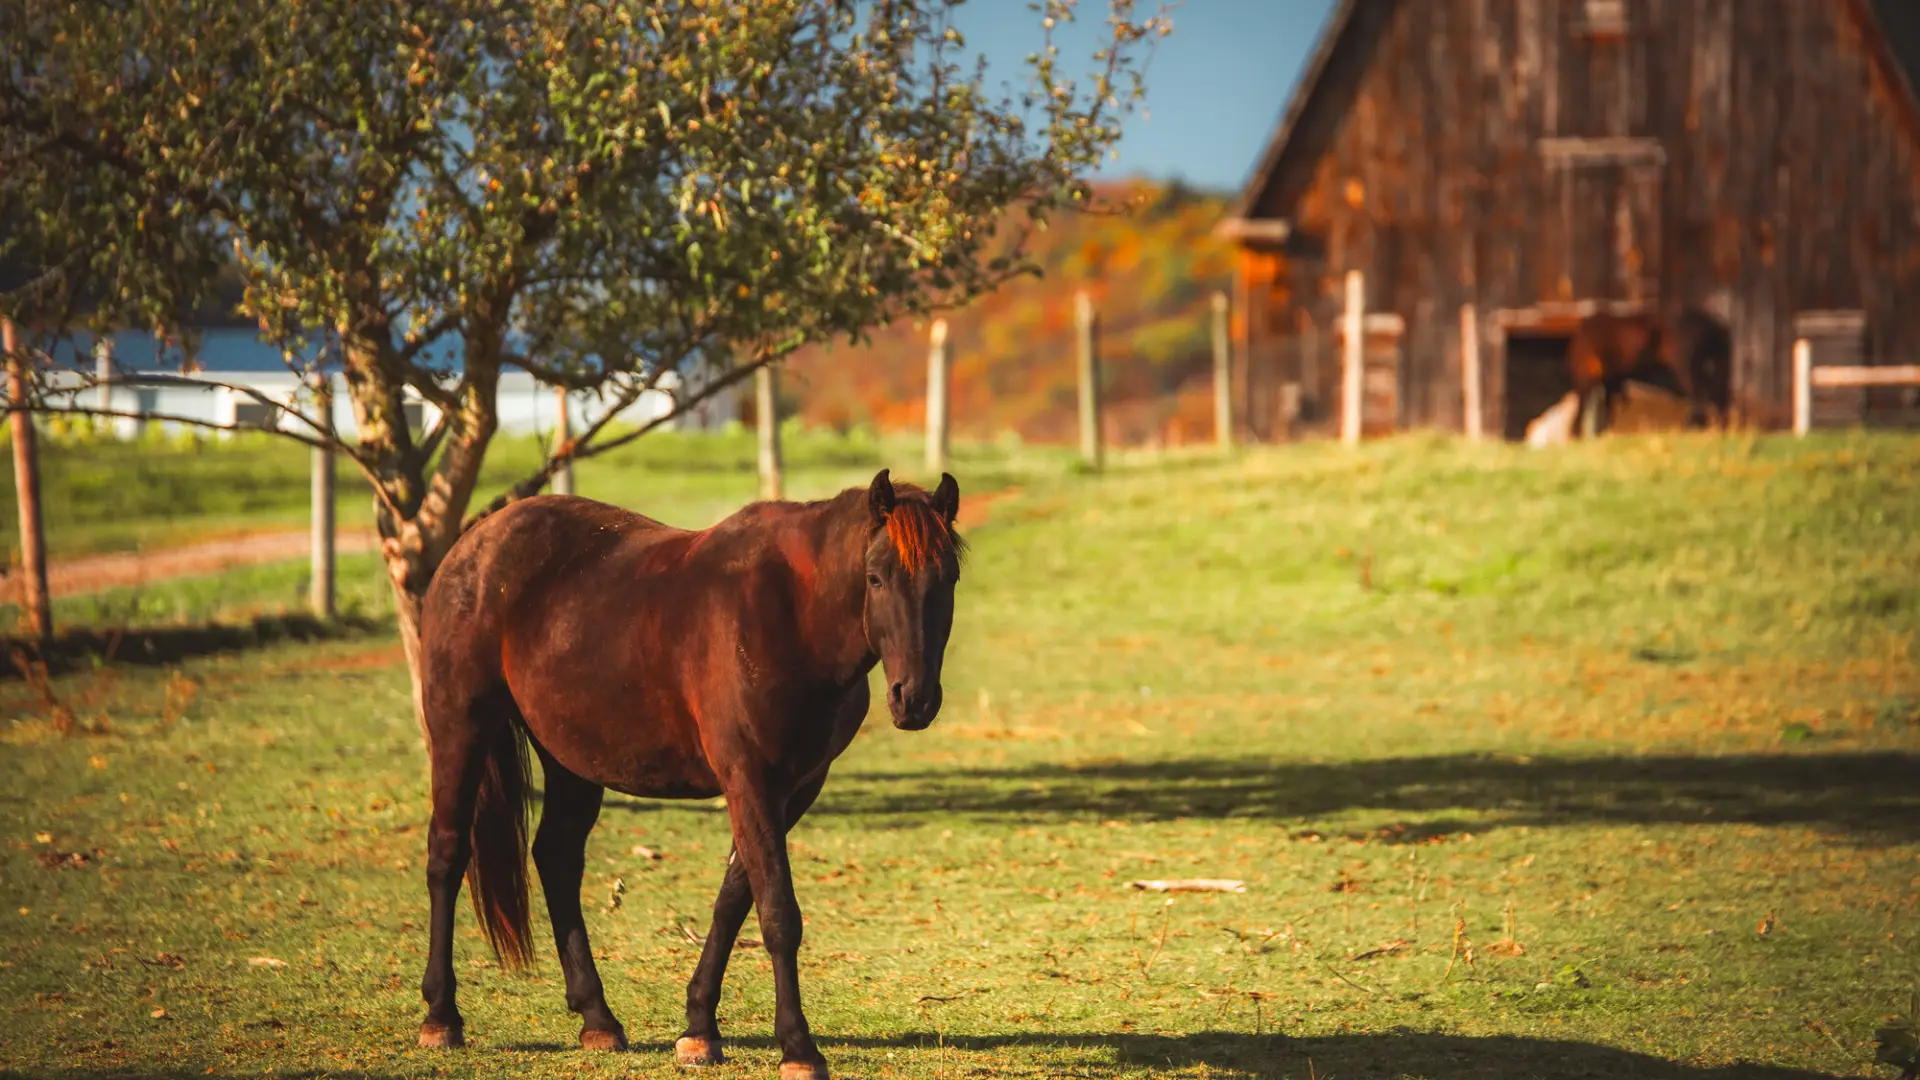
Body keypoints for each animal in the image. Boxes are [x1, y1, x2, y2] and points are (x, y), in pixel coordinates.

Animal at [413, 468, 964, 1080]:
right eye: (875, 577)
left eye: (949, 578)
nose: (914, 699)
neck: (789, 617)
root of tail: (473, 545)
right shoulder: (749, 779)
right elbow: (778, 913)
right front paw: (798, 1047)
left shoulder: (793, 788)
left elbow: (734, 899)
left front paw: (699, 1028)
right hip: (460, 729)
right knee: (447, 855)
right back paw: (441, 1017)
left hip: (571, 758)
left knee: (556, 858)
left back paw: (598, 1019)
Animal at [1565, 306, 1733, 434]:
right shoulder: (1611, 381)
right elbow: (1608, 409)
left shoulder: (1594, 378)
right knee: (1714, 397)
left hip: (1686, 372)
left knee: (1702, 397)